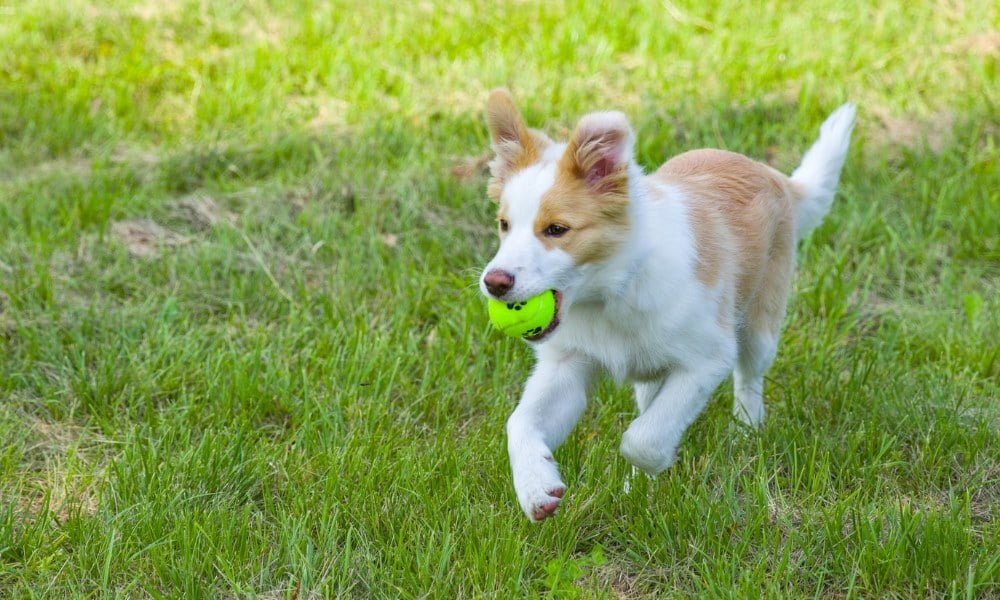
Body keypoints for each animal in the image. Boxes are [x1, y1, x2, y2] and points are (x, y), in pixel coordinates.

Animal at [480, 89, 856, 520]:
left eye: (557, 229)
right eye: (504, 225)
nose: (494, 283)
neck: (611, 292)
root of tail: (772, 174)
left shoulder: (707, 359)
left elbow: (641, 439)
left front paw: (658, 461)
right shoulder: (567, 364)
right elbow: (519, 423)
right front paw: (536, 488)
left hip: (760, 321)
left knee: (749, 377)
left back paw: (745, 430)